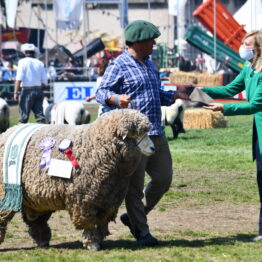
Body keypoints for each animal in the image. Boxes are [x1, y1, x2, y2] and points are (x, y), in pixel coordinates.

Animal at [0, 108, 154, 250]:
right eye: (136, 134)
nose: (153, 148)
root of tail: (7, 131)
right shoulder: (84, 199)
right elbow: (88, 222)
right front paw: (92, 244)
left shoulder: (108, 198)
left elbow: (102, 222)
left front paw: (99, 239)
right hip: (5, 191)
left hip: (34, 198)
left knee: (35, 220)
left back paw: (42, 241)